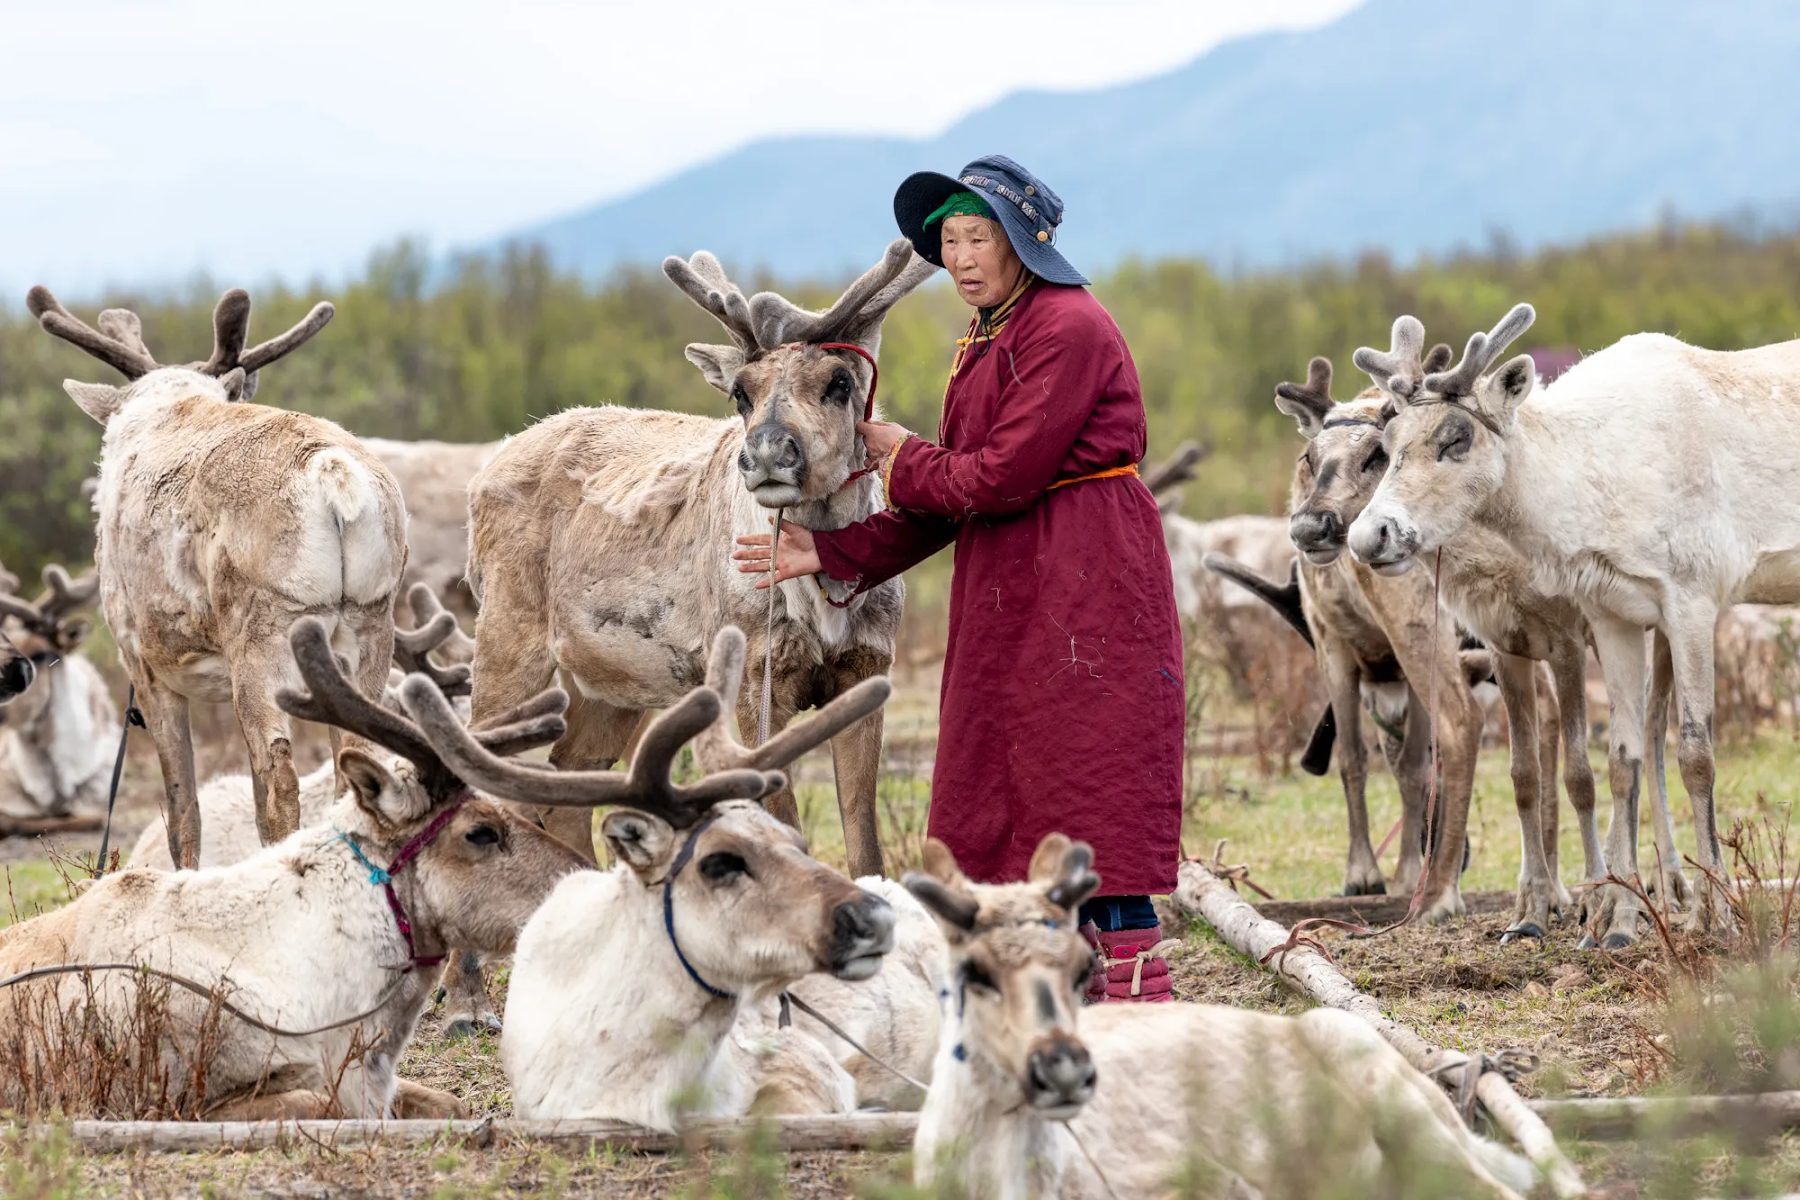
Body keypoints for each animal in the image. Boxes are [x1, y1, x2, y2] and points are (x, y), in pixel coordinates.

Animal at [29, 286, 408, 869]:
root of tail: (333, 473)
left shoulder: (144, 664)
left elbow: (182, 810)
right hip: (370, 627)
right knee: (358, 761)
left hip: (262, 638)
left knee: (278, 781)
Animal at [1348, 302, 1800, 943]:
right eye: (1387, 443)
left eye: (1456, 437)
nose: (1370, 536)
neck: (1588, 484)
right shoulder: (1614, 613)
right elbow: (1622, 760)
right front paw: (1618, 922)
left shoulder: (1692, 599)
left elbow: (1696, 755)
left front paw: (1715, 917)